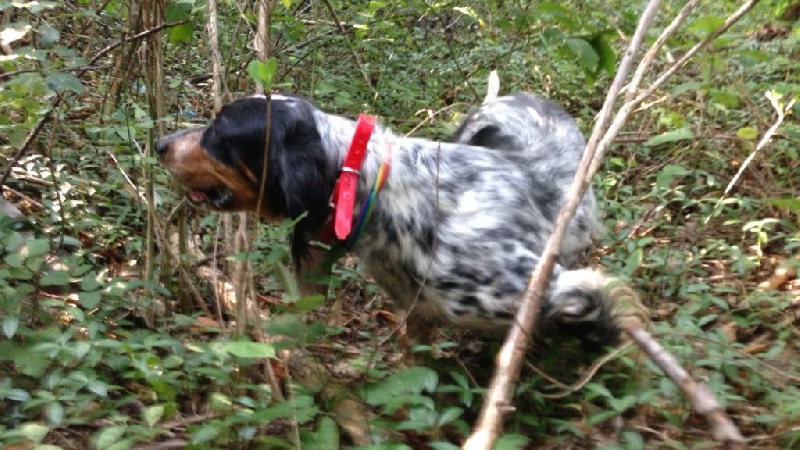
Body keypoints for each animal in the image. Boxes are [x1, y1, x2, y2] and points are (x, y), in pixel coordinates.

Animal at [155, 91, 644, 344]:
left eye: (218, 132)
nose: (160, 144)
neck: (381, 189)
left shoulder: (537, 281)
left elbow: (599, 292)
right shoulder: (418, 308)